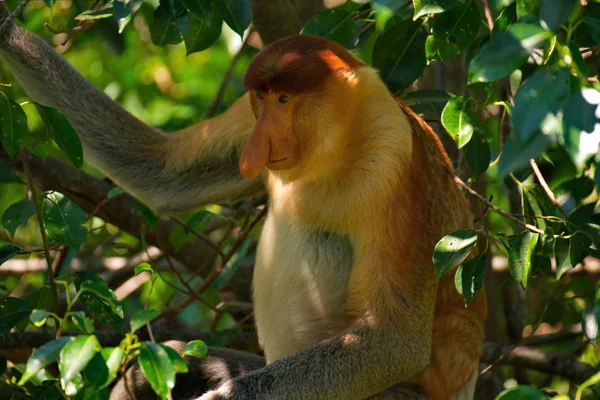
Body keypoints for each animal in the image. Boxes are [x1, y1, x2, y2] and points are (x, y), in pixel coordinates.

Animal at [0, 3, 488, 400]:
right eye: (261, 98)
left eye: (286, 99)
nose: (256, 148)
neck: (339, 146)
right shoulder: (245, 117)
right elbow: (162, 173)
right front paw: (7, 30)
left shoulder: (396, 161)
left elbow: (392, 341)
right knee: (164, 363)